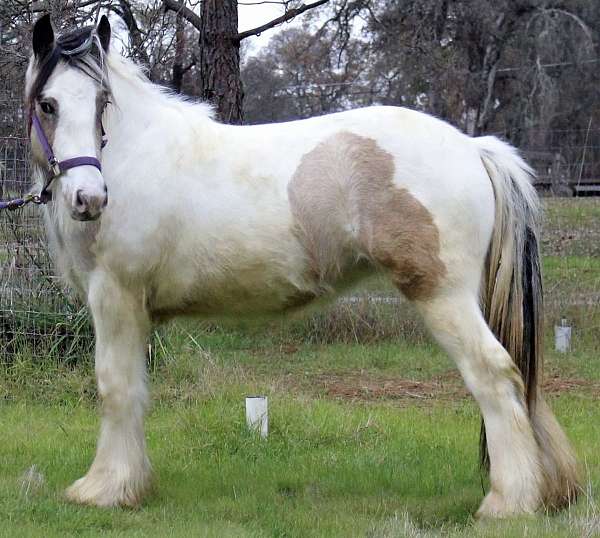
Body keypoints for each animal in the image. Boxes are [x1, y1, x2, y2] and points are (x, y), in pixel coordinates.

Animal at [25, 14, 580, 512]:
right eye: (48, 104)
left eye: (103, 103)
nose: (88, 198)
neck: (131, 154)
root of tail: (473, 146)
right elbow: (136, 390)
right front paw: (129, 484)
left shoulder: (115, 297)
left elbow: (116, 388)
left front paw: (105, 489)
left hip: (444, 296)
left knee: (494, 374)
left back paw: (509, 501)